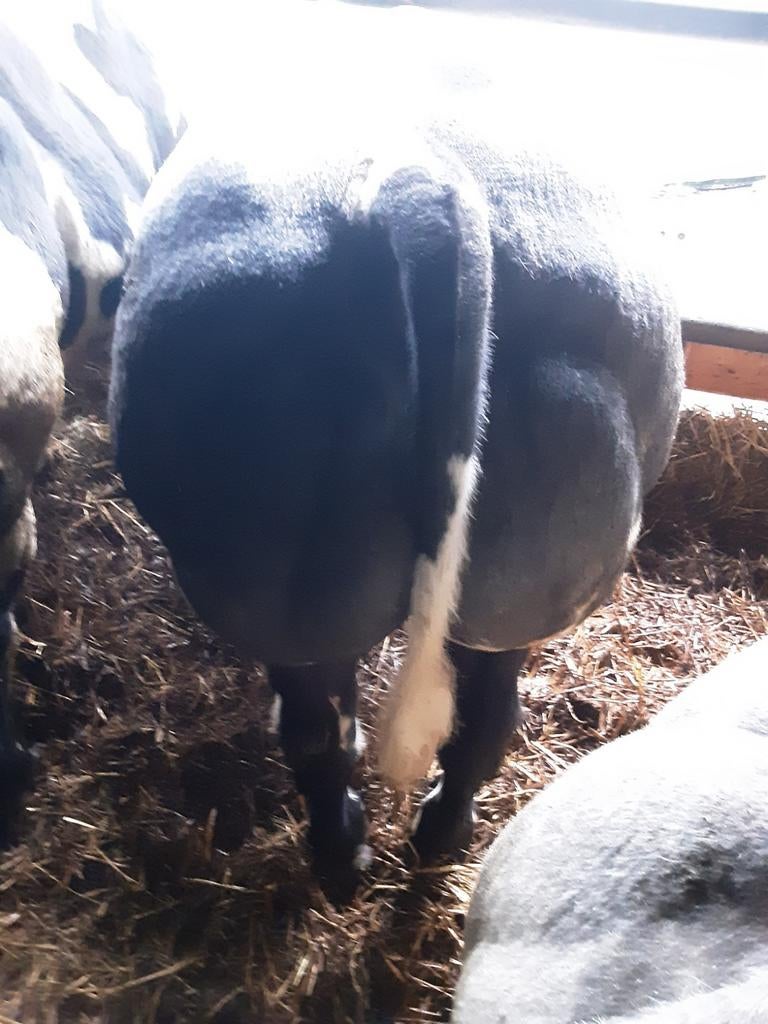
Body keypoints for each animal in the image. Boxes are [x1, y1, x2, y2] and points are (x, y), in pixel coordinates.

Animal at [107, 90, 683, 885]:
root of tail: (421, 182)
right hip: (515, 590)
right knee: (474, 722)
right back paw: (429, 838)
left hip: (280, 599)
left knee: (323, 731)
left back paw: (347, 854)